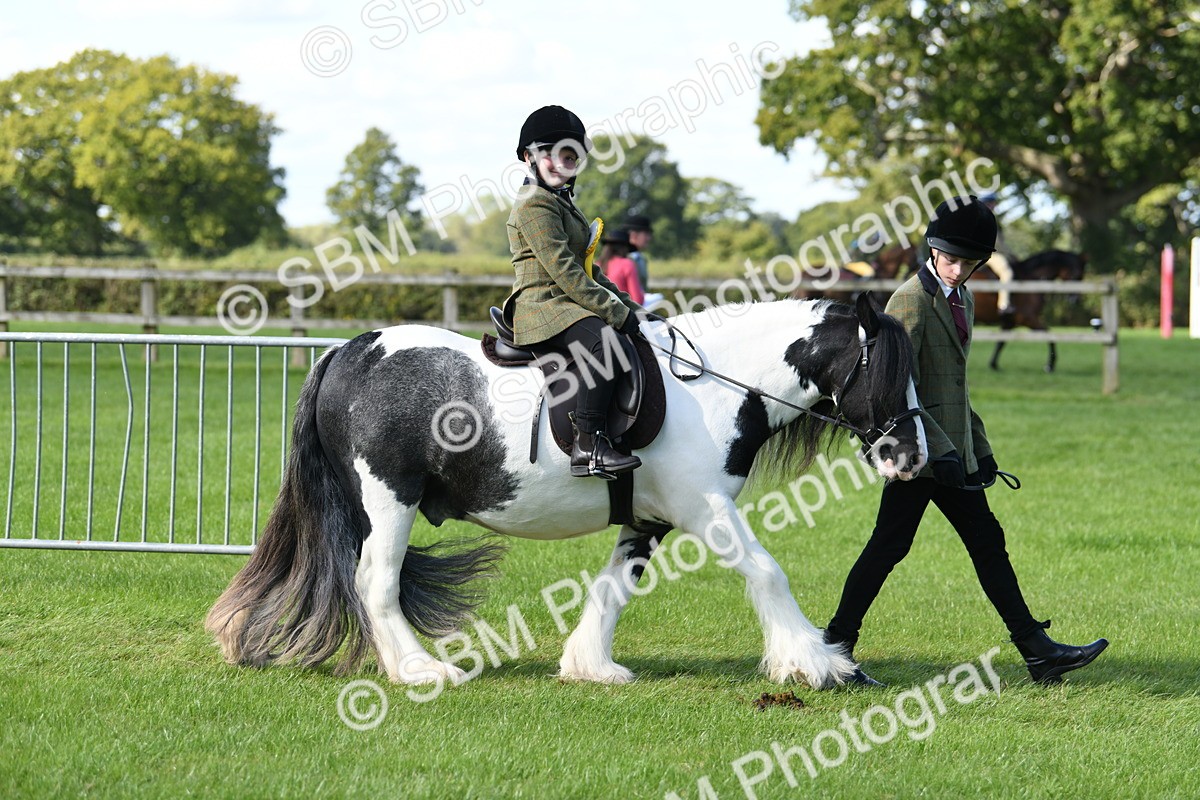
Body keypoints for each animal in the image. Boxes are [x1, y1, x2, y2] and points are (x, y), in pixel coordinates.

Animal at [205, 294, 928, 691]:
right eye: (890, 374)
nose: (914, 457)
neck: (711, 384)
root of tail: (345, 352)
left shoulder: (650, 517)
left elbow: (614, 588)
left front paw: (590, 665)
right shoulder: (705, 509)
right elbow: (768, 571)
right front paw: (817, 663)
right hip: (388, 501)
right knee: (374, 583)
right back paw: (422, 672)